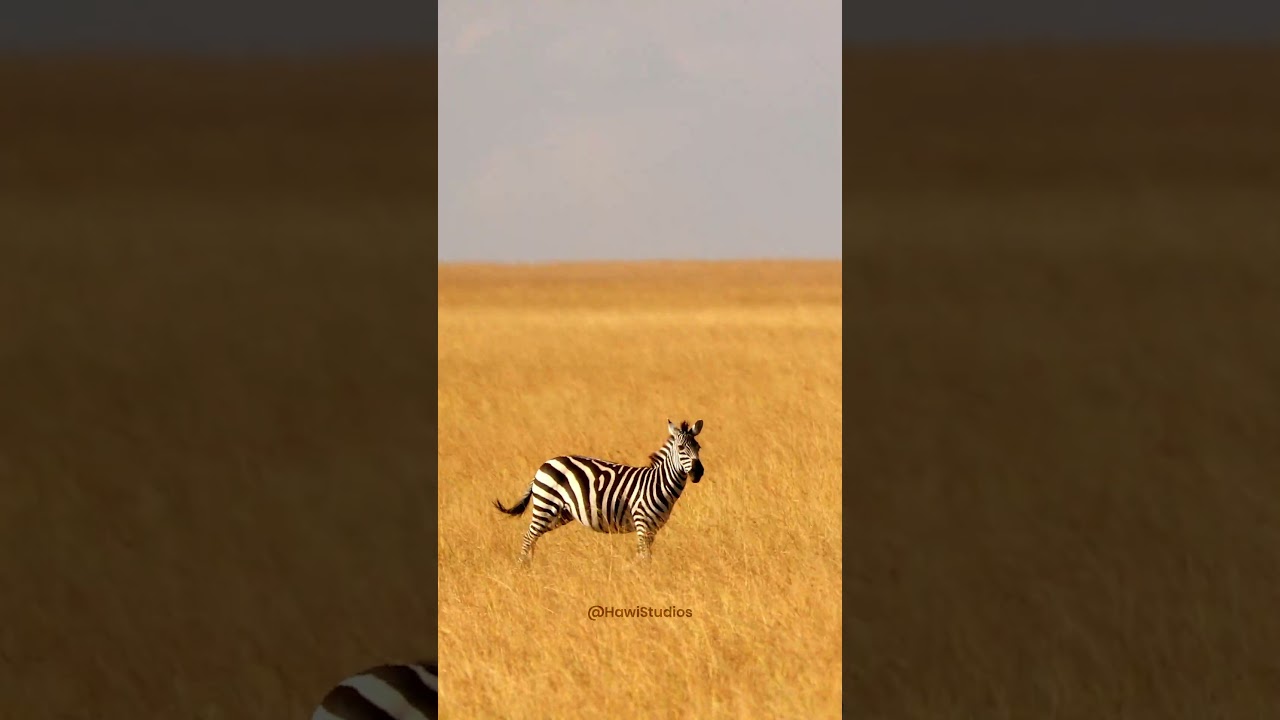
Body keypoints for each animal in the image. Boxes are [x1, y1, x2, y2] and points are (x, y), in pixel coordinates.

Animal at [493, 419, 705, 562]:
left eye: (698, 447)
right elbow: (644, 557)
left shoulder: (652, 528)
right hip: (546, 505)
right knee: (528, 537)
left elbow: (643, 556)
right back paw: (524, 567)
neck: (658, 483)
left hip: (560, 513)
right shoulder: (642, 523)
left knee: (533, 537)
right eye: (680, 448)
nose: (698, 472)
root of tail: (545, 464)